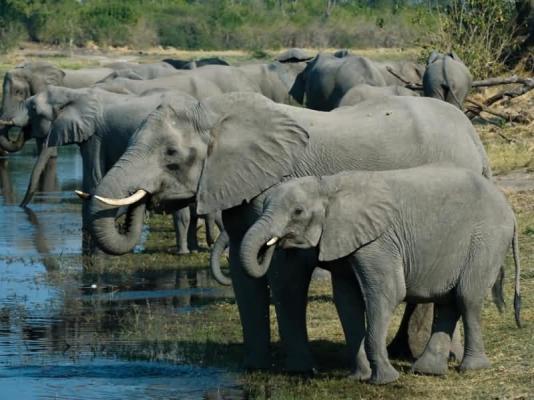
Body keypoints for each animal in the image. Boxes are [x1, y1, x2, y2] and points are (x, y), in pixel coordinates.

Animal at [87, 92, 494, 374]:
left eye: (171, 153)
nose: (143, 199)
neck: (217, 113)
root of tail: (474, 138)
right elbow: (244, 274)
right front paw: (253, 366)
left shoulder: (283, 187)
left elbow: (285, 275)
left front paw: (300, 368)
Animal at [240, 165, 524, 384]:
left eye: (298, 212)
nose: (273, 246)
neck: (328, 184)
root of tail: (509, 209)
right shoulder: (345, 244)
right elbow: (347, 303)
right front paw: (358, 378)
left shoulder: (377, 242)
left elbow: (387, 293)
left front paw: (384, 380)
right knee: (448, 301)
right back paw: (427, 371)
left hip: (487, 238)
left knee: (467, 297)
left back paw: (470, 368)